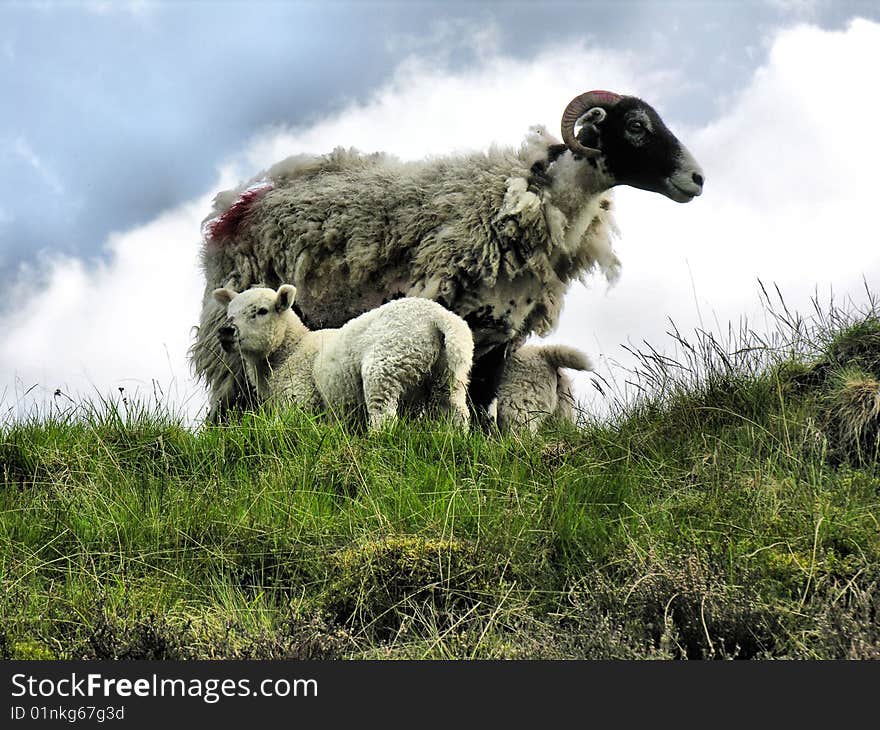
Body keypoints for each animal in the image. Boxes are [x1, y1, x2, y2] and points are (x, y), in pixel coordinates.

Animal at [211, 284, 474, 430]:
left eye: (262, 311)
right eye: (229, 311)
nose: (226, 331)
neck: (290, 350)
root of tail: (438, 317)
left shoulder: (299, 397)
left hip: (389, 363)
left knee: (383, 415)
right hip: (448, 374)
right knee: (456, 413)